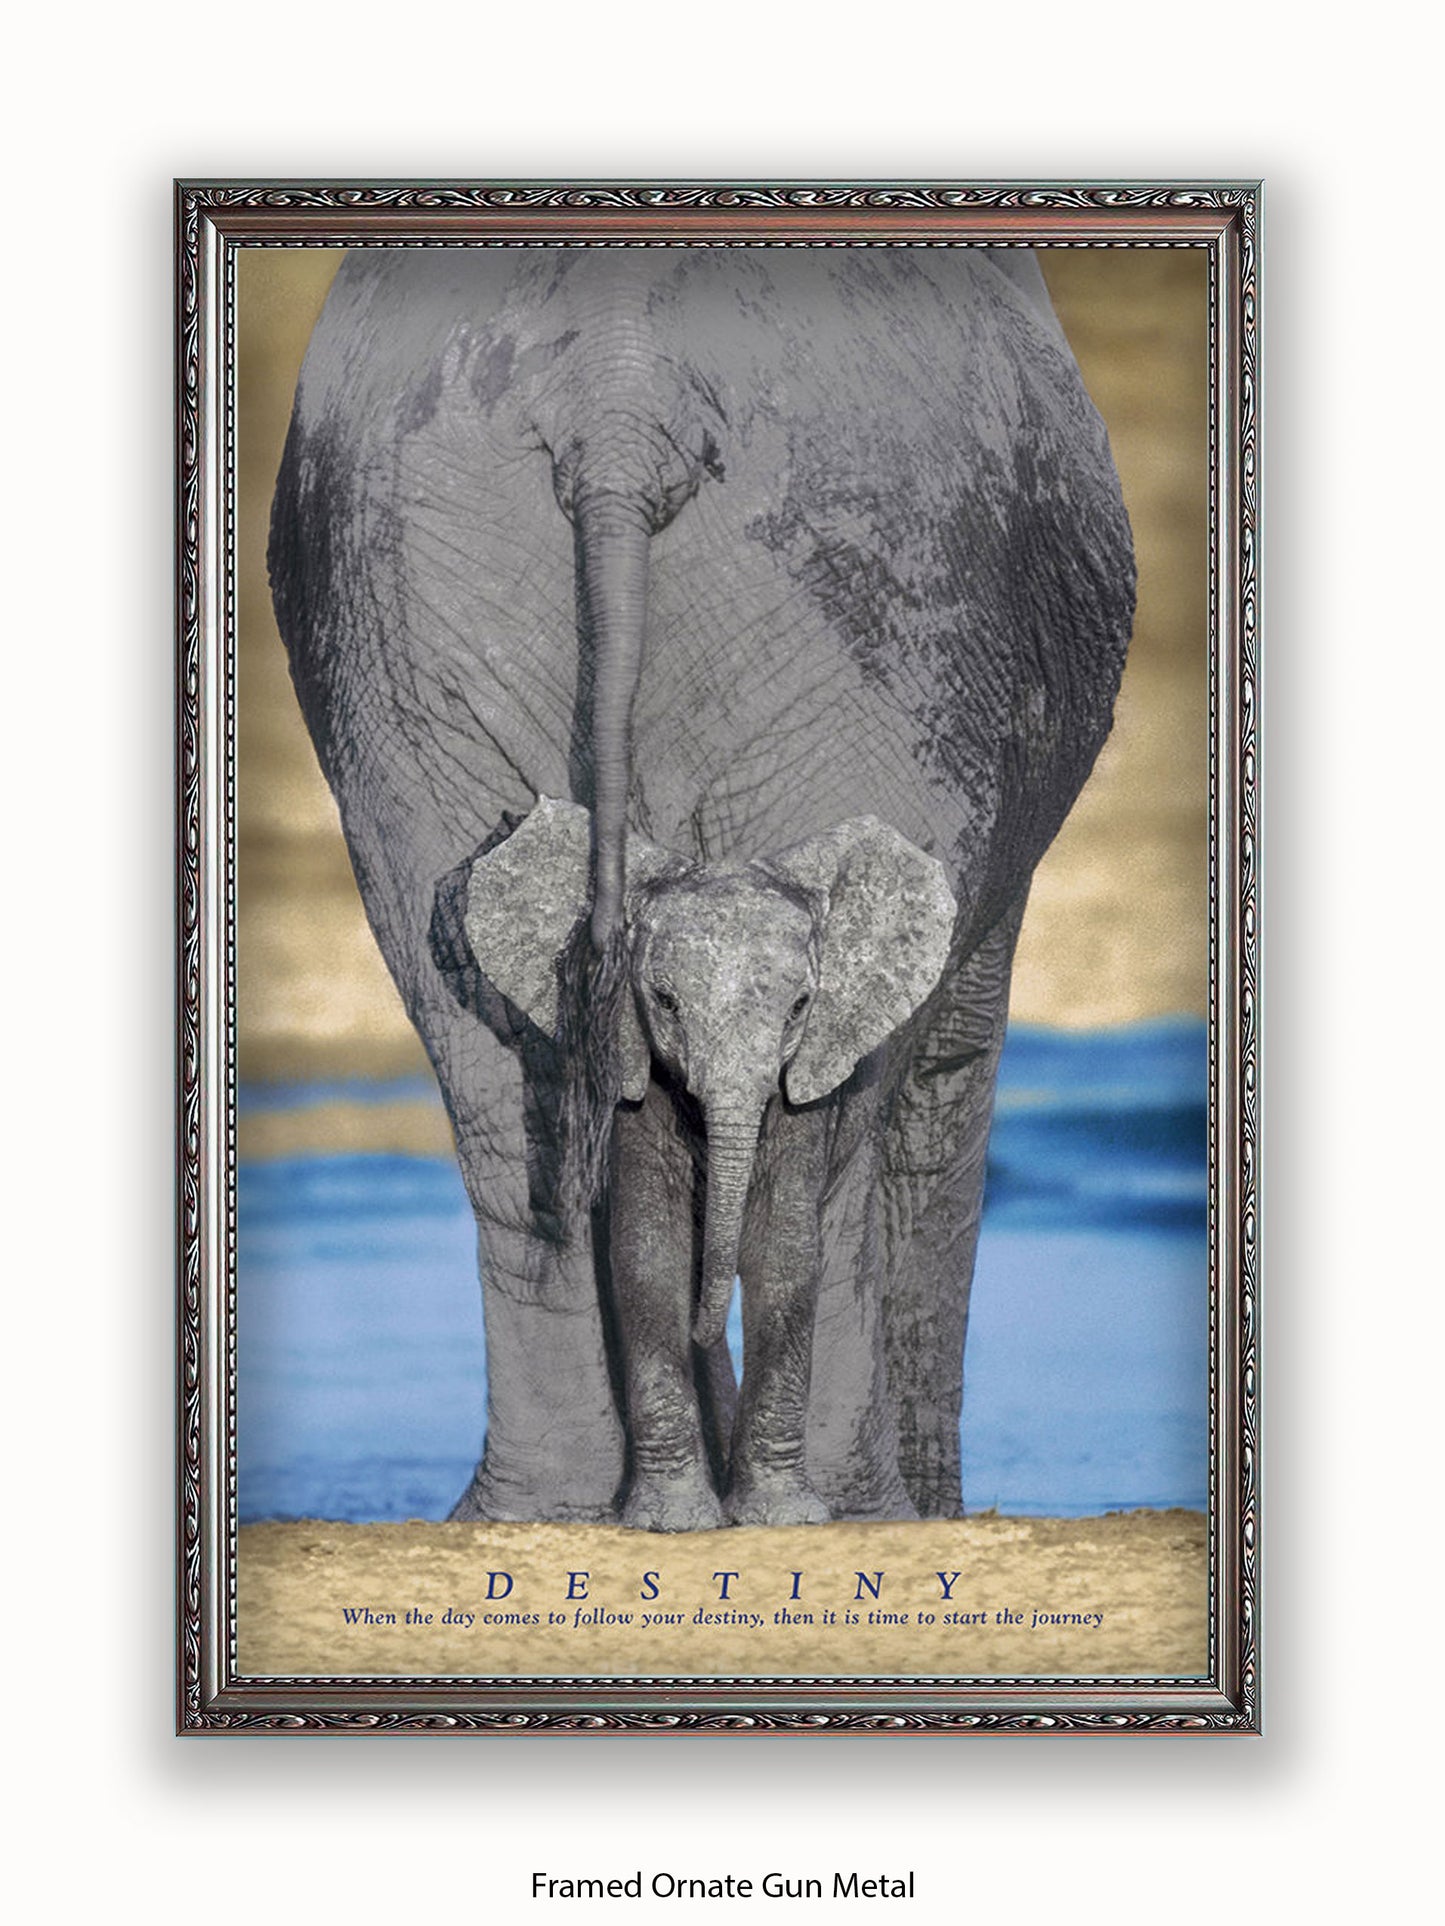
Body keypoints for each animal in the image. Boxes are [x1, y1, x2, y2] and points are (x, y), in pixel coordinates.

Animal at [461, 796, 956, 1529]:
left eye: (800, 1007)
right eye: (664, 1003)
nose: (708, 1329)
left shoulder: (802, 1087)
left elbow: (785, 1254)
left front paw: (782, 1517)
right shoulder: (629, 1071)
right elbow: (647, 1256)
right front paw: (672, 1520)